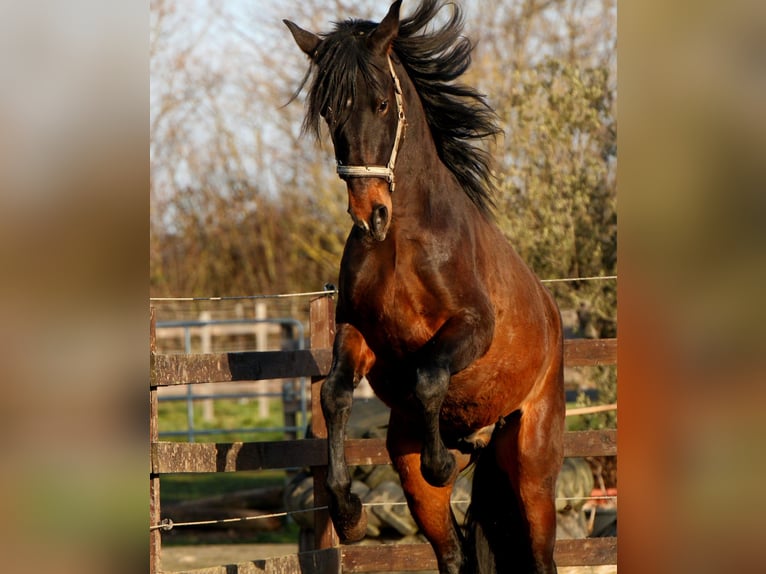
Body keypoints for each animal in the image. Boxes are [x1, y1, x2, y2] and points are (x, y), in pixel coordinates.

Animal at [285, 1, 564, 572]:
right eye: (329, 112)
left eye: (380, 103)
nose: (370, 214)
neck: (403, 242)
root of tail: (554, 318)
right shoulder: (358, 332)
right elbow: (334, 394)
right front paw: (349, 513)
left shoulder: (472, 327)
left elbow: (430, 375)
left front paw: (440, 461)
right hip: (415, 479)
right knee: (454, 555)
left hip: (532, 464)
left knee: (540, 553)